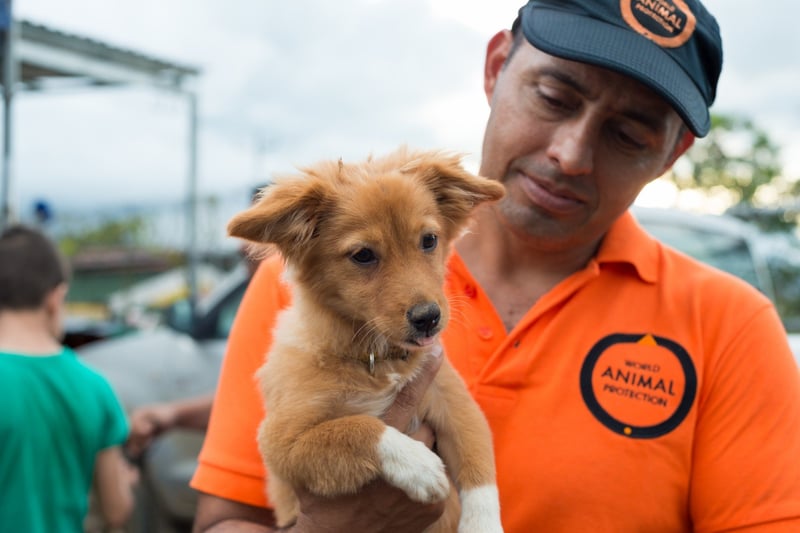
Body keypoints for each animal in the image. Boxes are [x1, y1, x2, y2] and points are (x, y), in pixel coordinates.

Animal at [225, 147, 504, 532]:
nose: (428, 318)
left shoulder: (453, 400)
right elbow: (356, 427)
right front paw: (416, 464)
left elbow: (479, 467)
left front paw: (483, 524)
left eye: (429, 240)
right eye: (363, 255)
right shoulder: (281, 442)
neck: (376, 359)